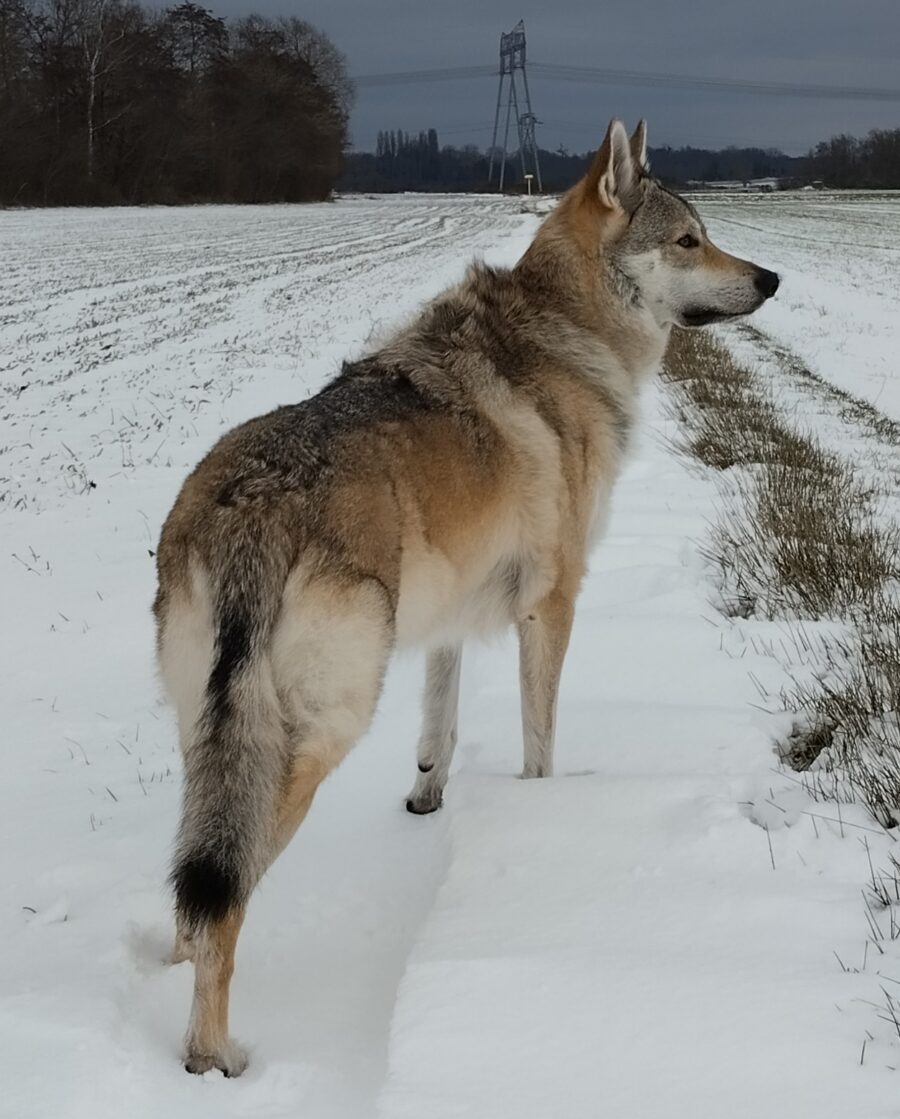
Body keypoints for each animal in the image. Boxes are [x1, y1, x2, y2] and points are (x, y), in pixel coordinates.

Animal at [153, 118, 779, 1075]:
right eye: (688, 240)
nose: (771, 278)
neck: (566, 331)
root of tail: (252, 502)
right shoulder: (551, 603)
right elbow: (539, 740)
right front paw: (542, 813)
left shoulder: (449, 613)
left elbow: (439, 727)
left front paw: (427, 800)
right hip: (313, 737)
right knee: (226, 901)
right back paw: (213, 1054)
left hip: (210, 736)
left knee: (193, 883)